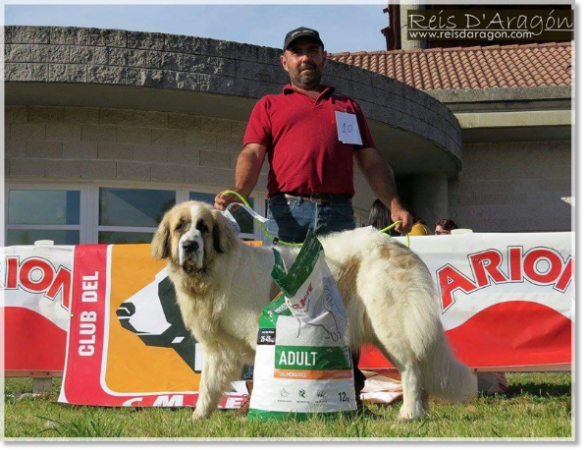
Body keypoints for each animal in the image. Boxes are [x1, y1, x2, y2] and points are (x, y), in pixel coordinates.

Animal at [151, 201, 474, 420]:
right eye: (180, 227)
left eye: (203, 228)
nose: (190, 245)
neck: (217, 272)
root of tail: (397, 245)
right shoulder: (216, 347)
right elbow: (208, 384)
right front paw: (199, 417)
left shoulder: (258, 334)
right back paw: (420, 414)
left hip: (389, 324)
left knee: (411, 368)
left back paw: (408, 414)